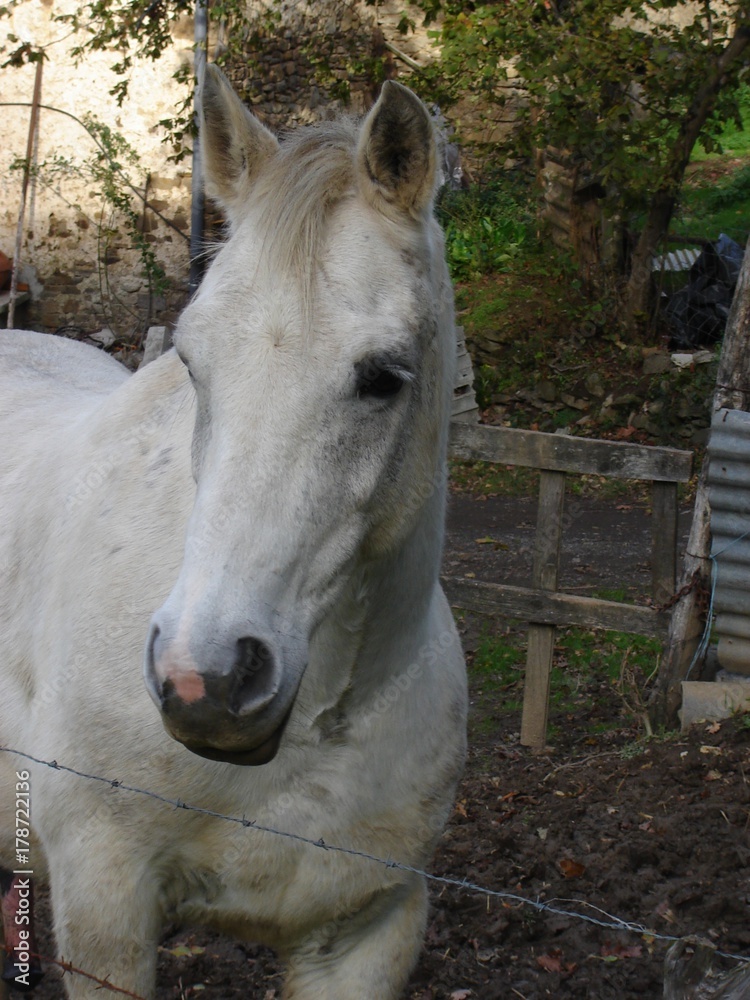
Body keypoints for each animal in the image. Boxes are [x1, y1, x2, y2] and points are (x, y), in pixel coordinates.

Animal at [0, 66, 467, 999]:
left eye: (384, 377)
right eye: (191, 359)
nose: (204, 680)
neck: (322, 727)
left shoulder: (370, 928)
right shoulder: (105, 912)